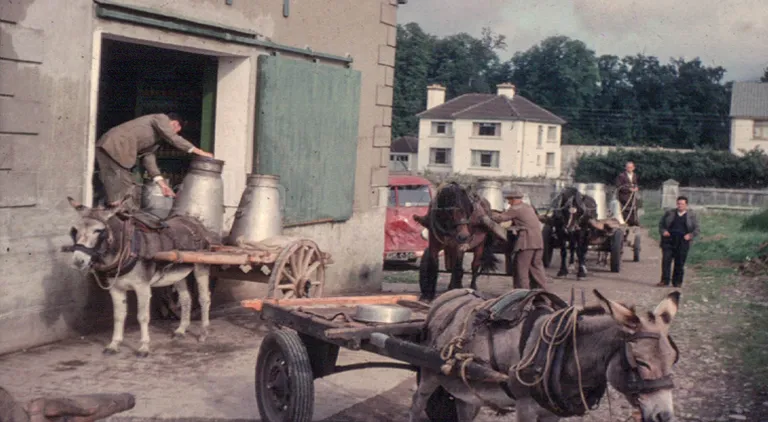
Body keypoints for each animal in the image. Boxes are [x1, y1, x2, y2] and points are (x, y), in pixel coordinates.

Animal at [68, 195, 216, 356]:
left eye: (98, 231)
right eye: (75, 230)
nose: (78, 261)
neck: (126, 248)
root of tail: (195, 221)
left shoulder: (142, 287)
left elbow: (143, 317)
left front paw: (144, 347)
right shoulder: (116, 289)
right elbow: (118, 316)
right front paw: (114, 344)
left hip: (201, 268)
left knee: (204, 299)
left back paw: (203, 333)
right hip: (178, 273)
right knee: (186, 299)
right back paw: (181, 330)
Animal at [412, 288, 680, 422]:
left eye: (672, 359)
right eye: (640, 362)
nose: (664, 416)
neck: (564, 353)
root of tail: (445, 296)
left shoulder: (552, 413)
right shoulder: (525, 408)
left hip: (466, 387)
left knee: (464, 409)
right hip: (430, 373)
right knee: (418, 402)